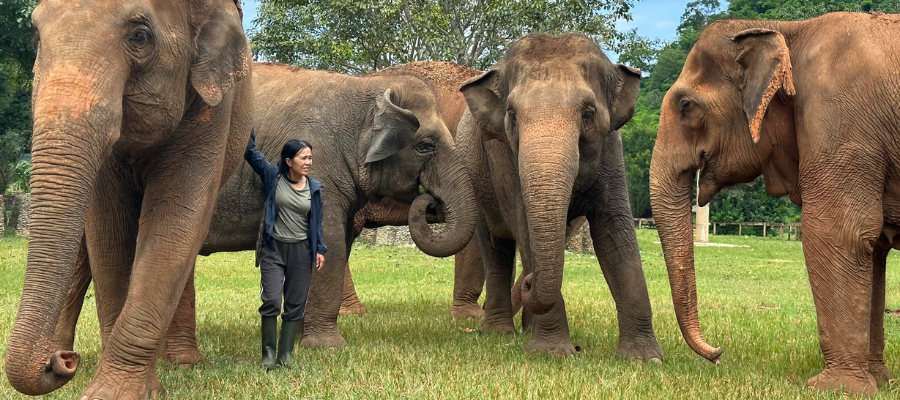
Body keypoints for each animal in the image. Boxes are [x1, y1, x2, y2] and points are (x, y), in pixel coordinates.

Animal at [3, 0, 251, 396]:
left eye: (139, 37)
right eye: (36, 35)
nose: (65, 363)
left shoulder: (212, 109)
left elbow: (175, 222)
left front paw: (112, 392)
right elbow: (109, 230)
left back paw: (181, 362)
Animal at [458, 33, 660, 360]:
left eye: (588, 114)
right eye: (512, 116)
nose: (528, 283)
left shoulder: (611, 150)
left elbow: (615, 233)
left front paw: (644, 358)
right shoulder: (503, 158)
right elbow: (526, 229)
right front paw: (552, 353)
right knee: (497, 246)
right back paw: (499, 333)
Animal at [652, 12, 900, 396]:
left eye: (685, 105)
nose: (718, 354)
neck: (789, 30)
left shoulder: (841, 119)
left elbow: (839, 232)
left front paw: (835, 390)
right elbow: (873, 248)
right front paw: (878, 382)